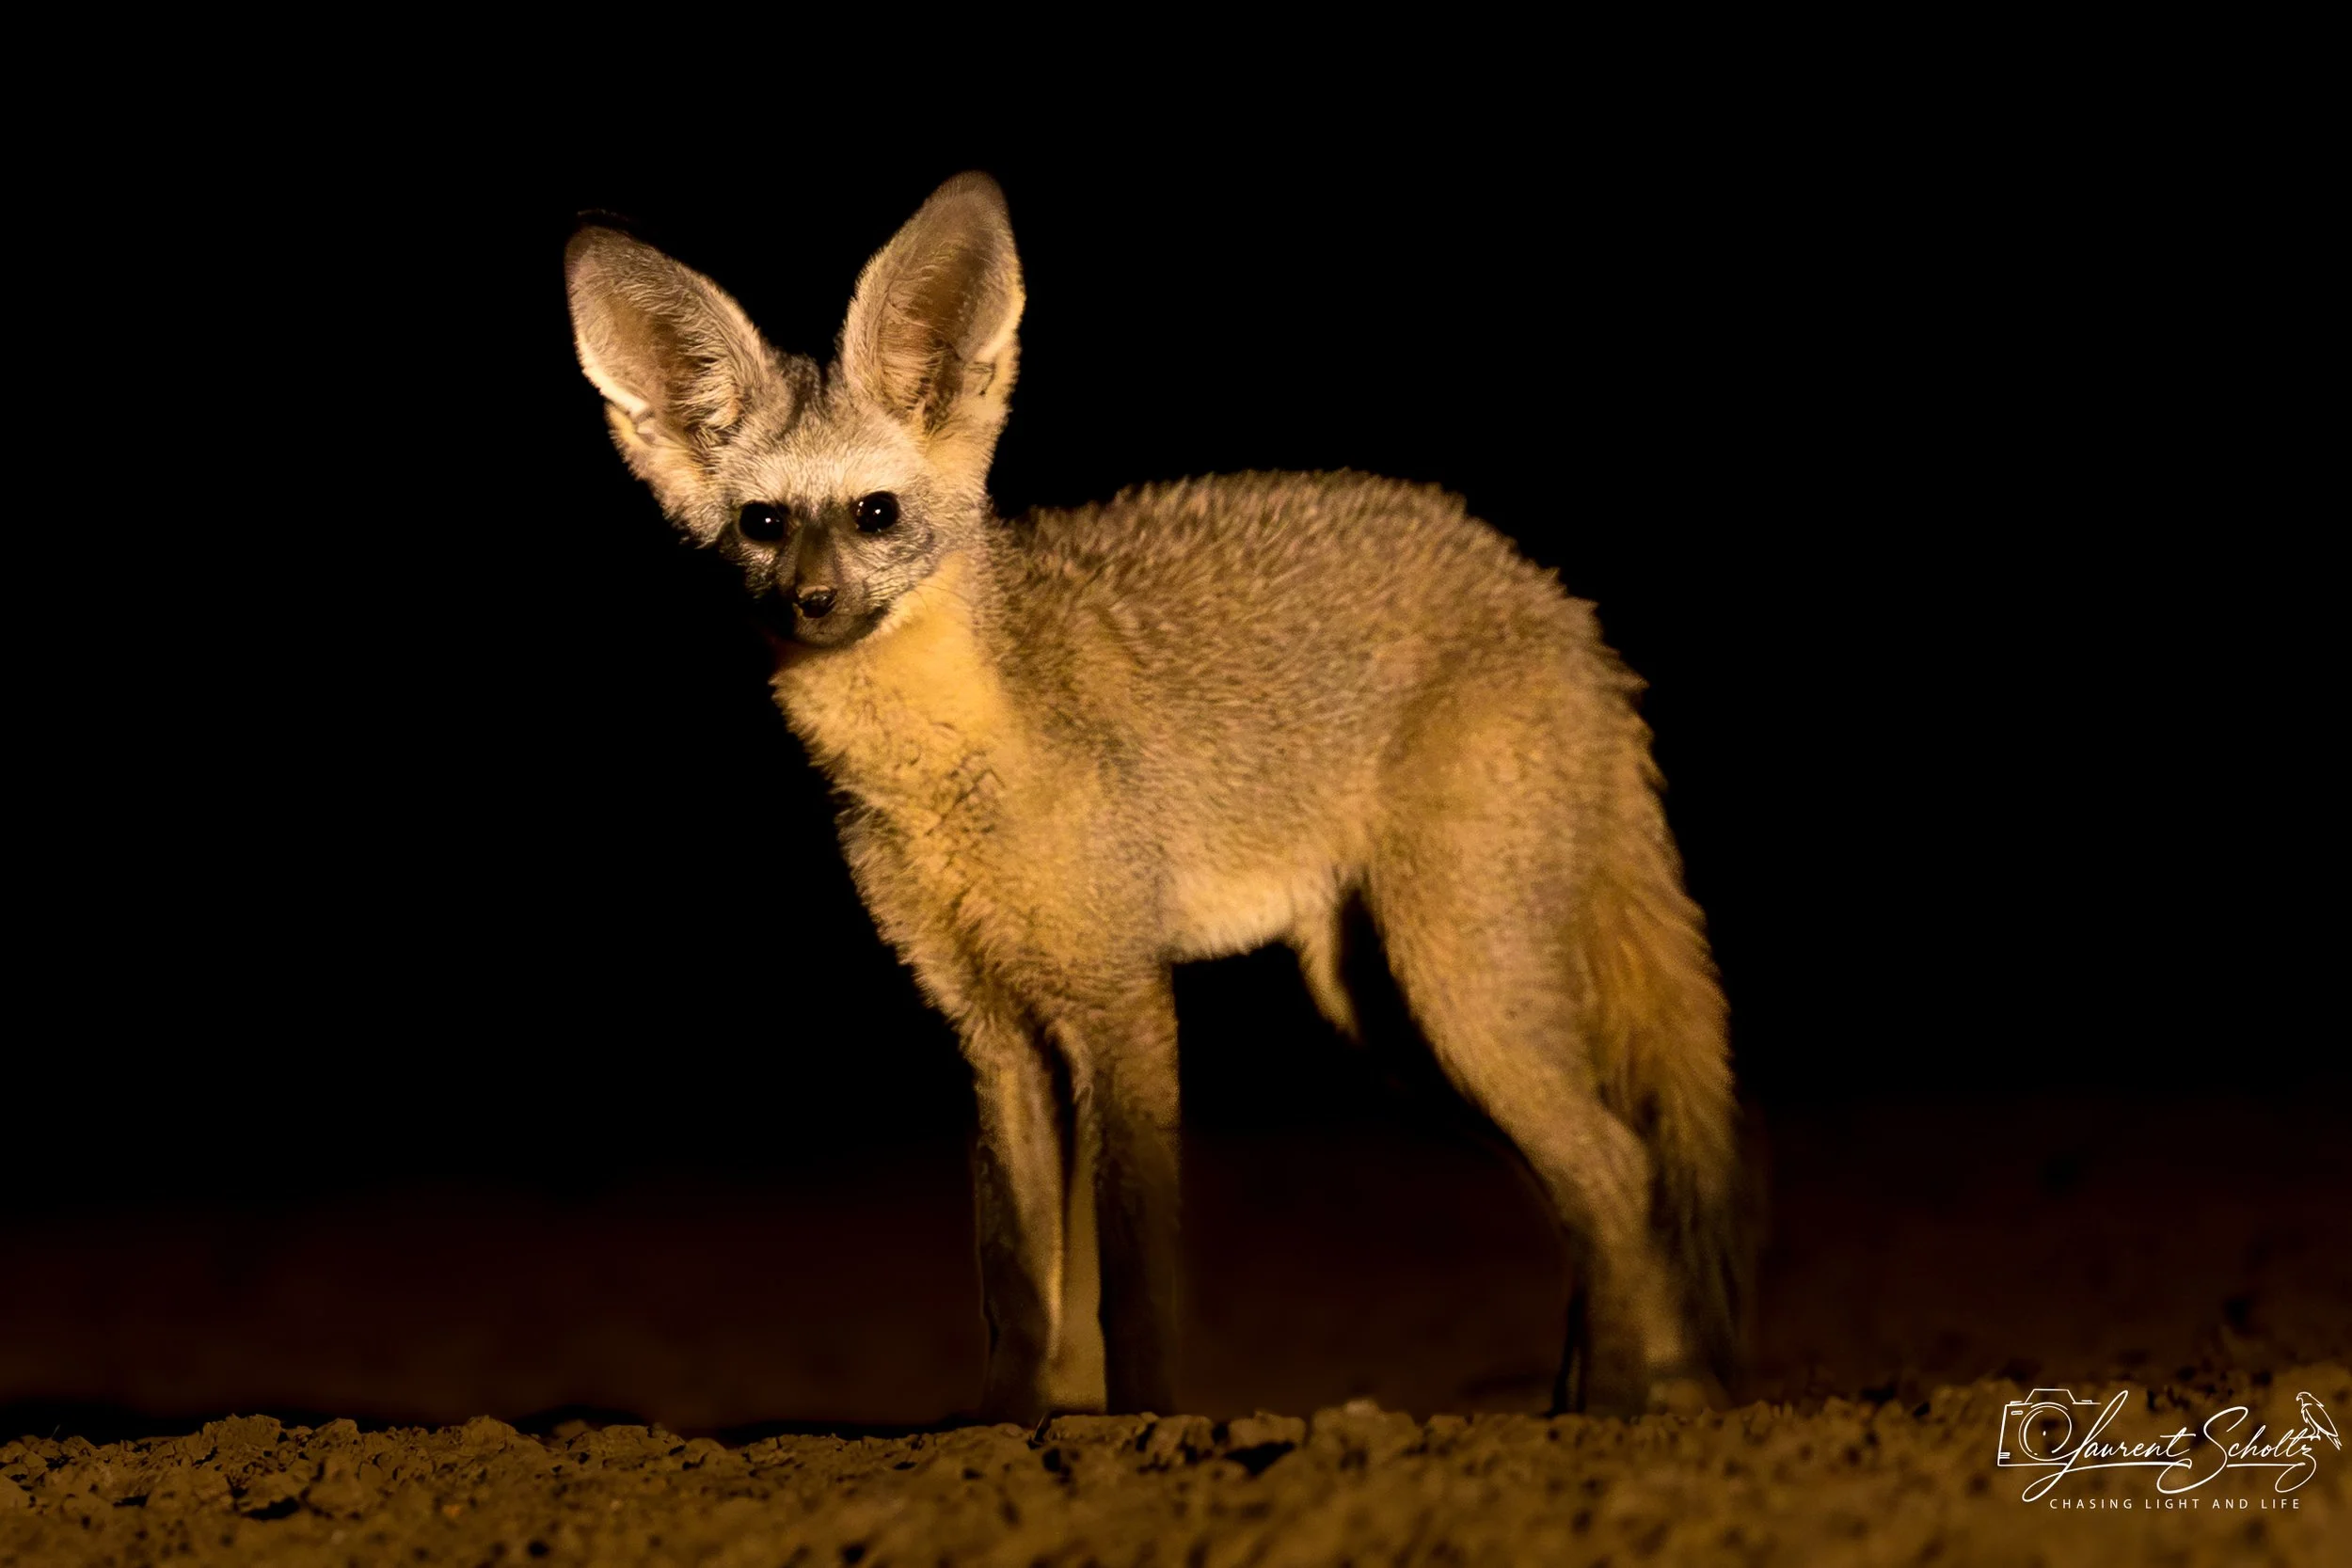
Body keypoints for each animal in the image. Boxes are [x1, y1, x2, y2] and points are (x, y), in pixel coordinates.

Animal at [562, 172, 1746, 1423]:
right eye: (764, 523)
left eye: (875, 513)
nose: (813, 603)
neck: (948, 769)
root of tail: (1558, 602)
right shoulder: (994, 1030)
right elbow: (1023, 1286)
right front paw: (1015, 1425)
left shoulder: (1121, 998)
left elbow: (1132, 1279)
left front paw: (1141, 1423)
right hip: (1390, 1023)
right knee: (1603, 1184)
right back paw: (1602, 1398)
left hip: (1457, 989)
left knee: (1615, 1169)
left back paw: (1607, 1406)